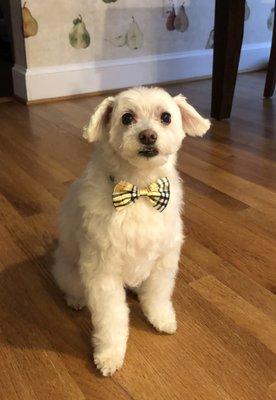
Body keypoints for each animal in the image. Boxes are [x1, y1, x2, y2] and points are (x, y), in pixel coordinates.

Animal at [52, 86, 210, 376]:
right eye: (127, 118)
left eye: (166, 117)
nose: (148, 135)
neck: (141, 190)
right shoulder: (103, 274)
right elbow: (111, 319)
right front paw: (109, 354)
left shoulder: (163, 261)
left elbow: (158, 295)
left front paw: (161, 318)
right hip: (71, 273)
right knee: (71, 286)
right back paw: (75, 299)